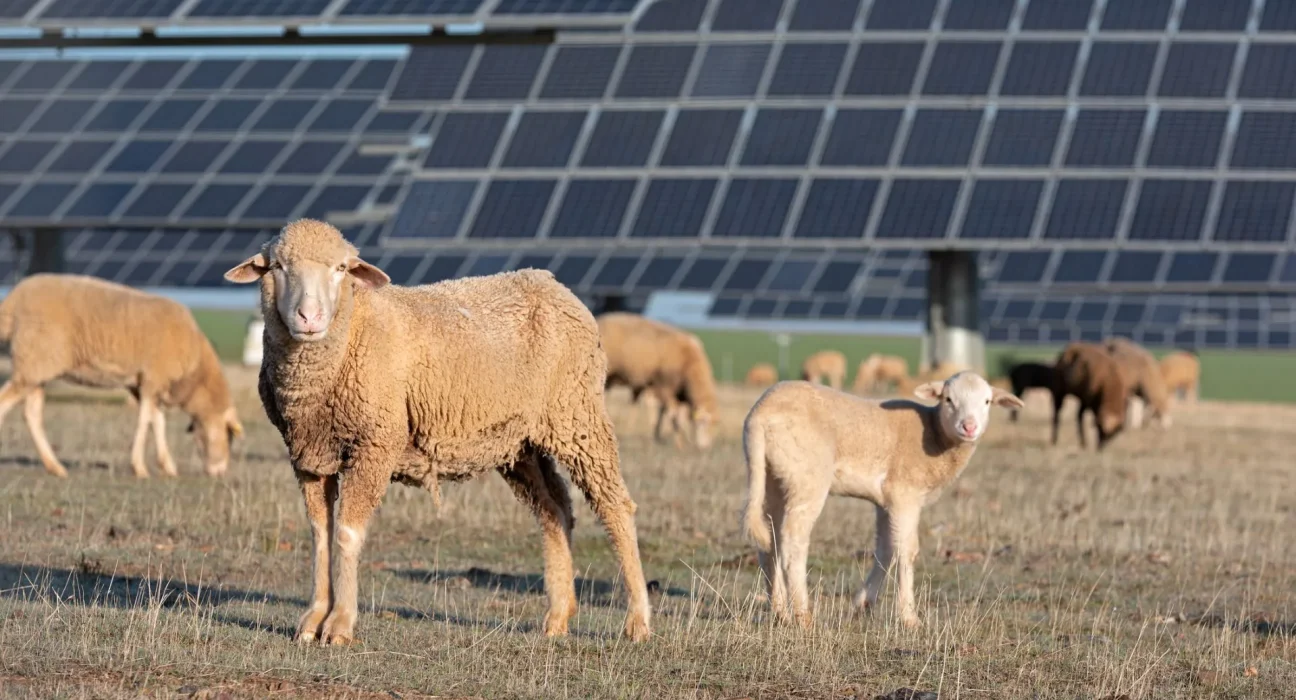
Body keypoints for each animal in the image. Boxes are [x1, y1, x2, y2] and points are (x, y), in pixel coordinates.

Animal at [0, 273, 243, 479]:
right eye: (229, 436)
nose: (220, 473)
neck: (196, 373)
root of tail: (14, 299)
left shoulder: (148, 384)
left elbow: (158, 421)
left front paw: (167, 467)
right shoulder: (153, 379)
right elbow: (146, 421)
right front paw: (140, 468)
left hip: (36, 370)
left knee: (32, 415)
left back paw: (55, 467)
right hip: (33, 361)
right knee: (6, 403)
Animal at [223, 219, 651, 645]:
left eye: (341, 269)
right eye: (278, 266)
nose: (308, 317)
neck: (350, 332)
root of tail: (552, 283)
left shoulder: (375, 444)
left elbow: (346, 534)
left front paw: (340, 624)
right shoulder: (309, 455)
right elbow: (320, 535)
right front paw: (313, 620)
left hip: (578, 416)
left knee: (616, 507)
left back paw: (638, 621)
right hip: (519, 442)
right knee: (554, 510)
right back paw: (558, 617)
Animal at [596, 311, 718, 450]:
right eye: (703, 422)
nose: (706, 447)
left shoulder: (675, 392)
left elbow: (666, 412)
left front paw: (660, 435)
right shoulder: (664, 385)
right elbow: (672, 414)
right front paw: (678, 441)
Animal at [741, 372, 1023, 629]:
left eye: (987, 401)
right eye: (948, 399)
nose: (969, 427)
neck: (935, 434)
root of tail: (760, 415)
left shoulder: (885, 501)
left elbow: (886, 548)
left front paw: (864, 602)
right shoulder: (905, 494)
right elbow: (907, 550)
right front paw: (909, 618)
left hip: (774, 477)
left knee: (769, 541)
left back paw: (780, 611)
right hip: (807, 476)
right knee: (793, 541)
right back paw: (803, 616)